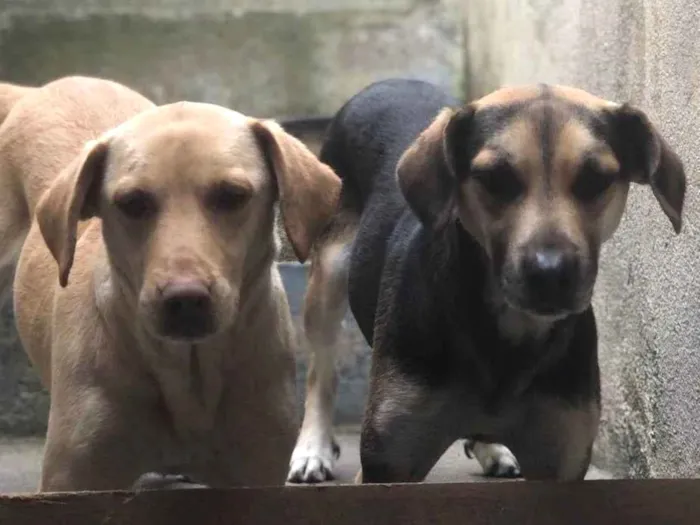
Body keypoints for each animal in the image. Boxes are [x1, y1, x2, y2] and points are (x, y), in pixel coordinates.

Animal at [0, 75, 340, 490]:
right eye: (132, 202)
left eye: (233, 195)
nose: (184, 300)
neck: (187, 373)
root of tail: (40, 90)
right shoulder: (73, 479)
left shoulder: (255, 472)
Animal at [288, 78, 688, 484]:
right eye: (496, 179)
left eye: (596, 180)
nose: (550, 274)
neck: (509, 333)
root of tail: (387, 82)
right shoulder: (389, 460)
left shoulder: (562, 457)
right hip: (330, 271)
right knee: (321, 371)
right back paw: (313, 450)